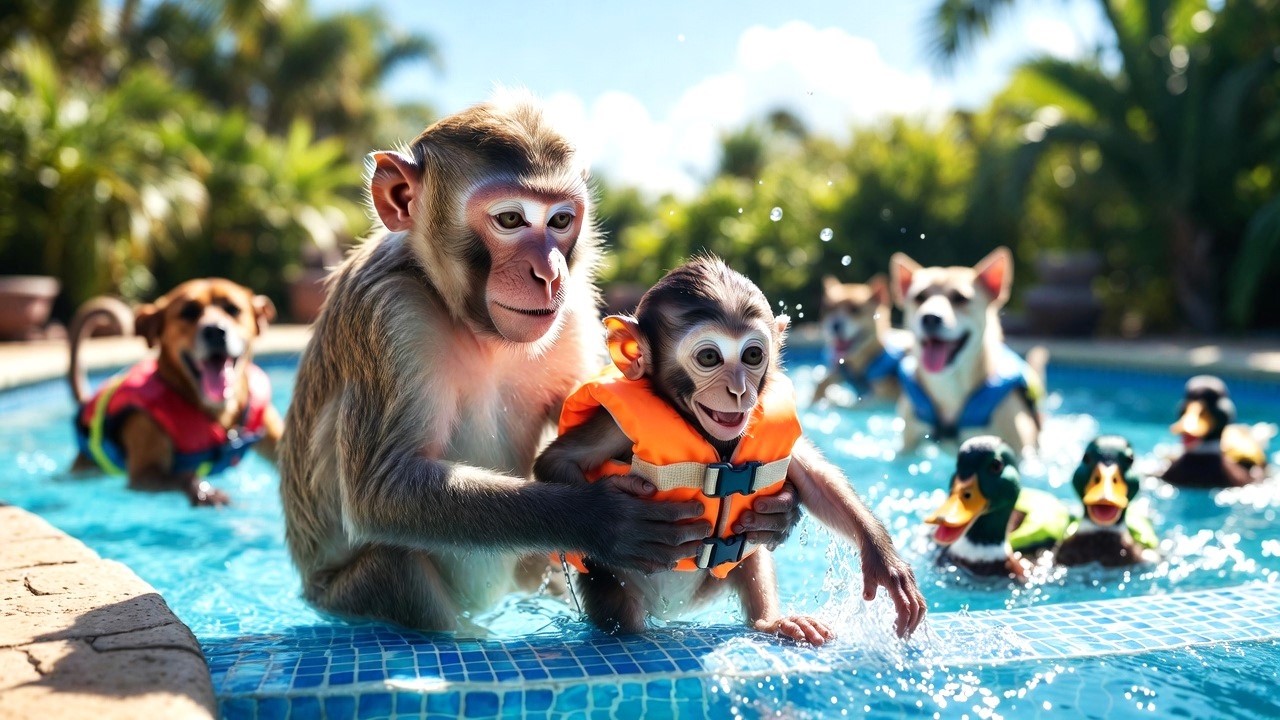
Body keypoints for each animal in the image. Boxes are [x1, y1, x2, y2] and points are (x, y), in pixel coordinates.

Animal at [277, 94, 803, 632]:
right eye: (511, 220)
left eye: (560, 221)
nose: (548, 273)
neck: (479, 330)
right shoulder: (389, 309)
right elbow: (383, 488)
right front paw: (603, 520)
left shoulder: (569, 313)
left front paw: (782, 511)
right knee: (394, 563)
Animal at [534, 257, 928, 643]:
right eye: (710, 357)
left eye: (752, 355)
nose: (739, 390)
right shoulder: (611, 423)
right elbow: (555, 461)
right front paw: (623, 506)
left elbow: (816, 479)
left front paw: (885, 561)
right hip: (614, 589)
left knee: (750, 556)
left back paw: (771, 621)